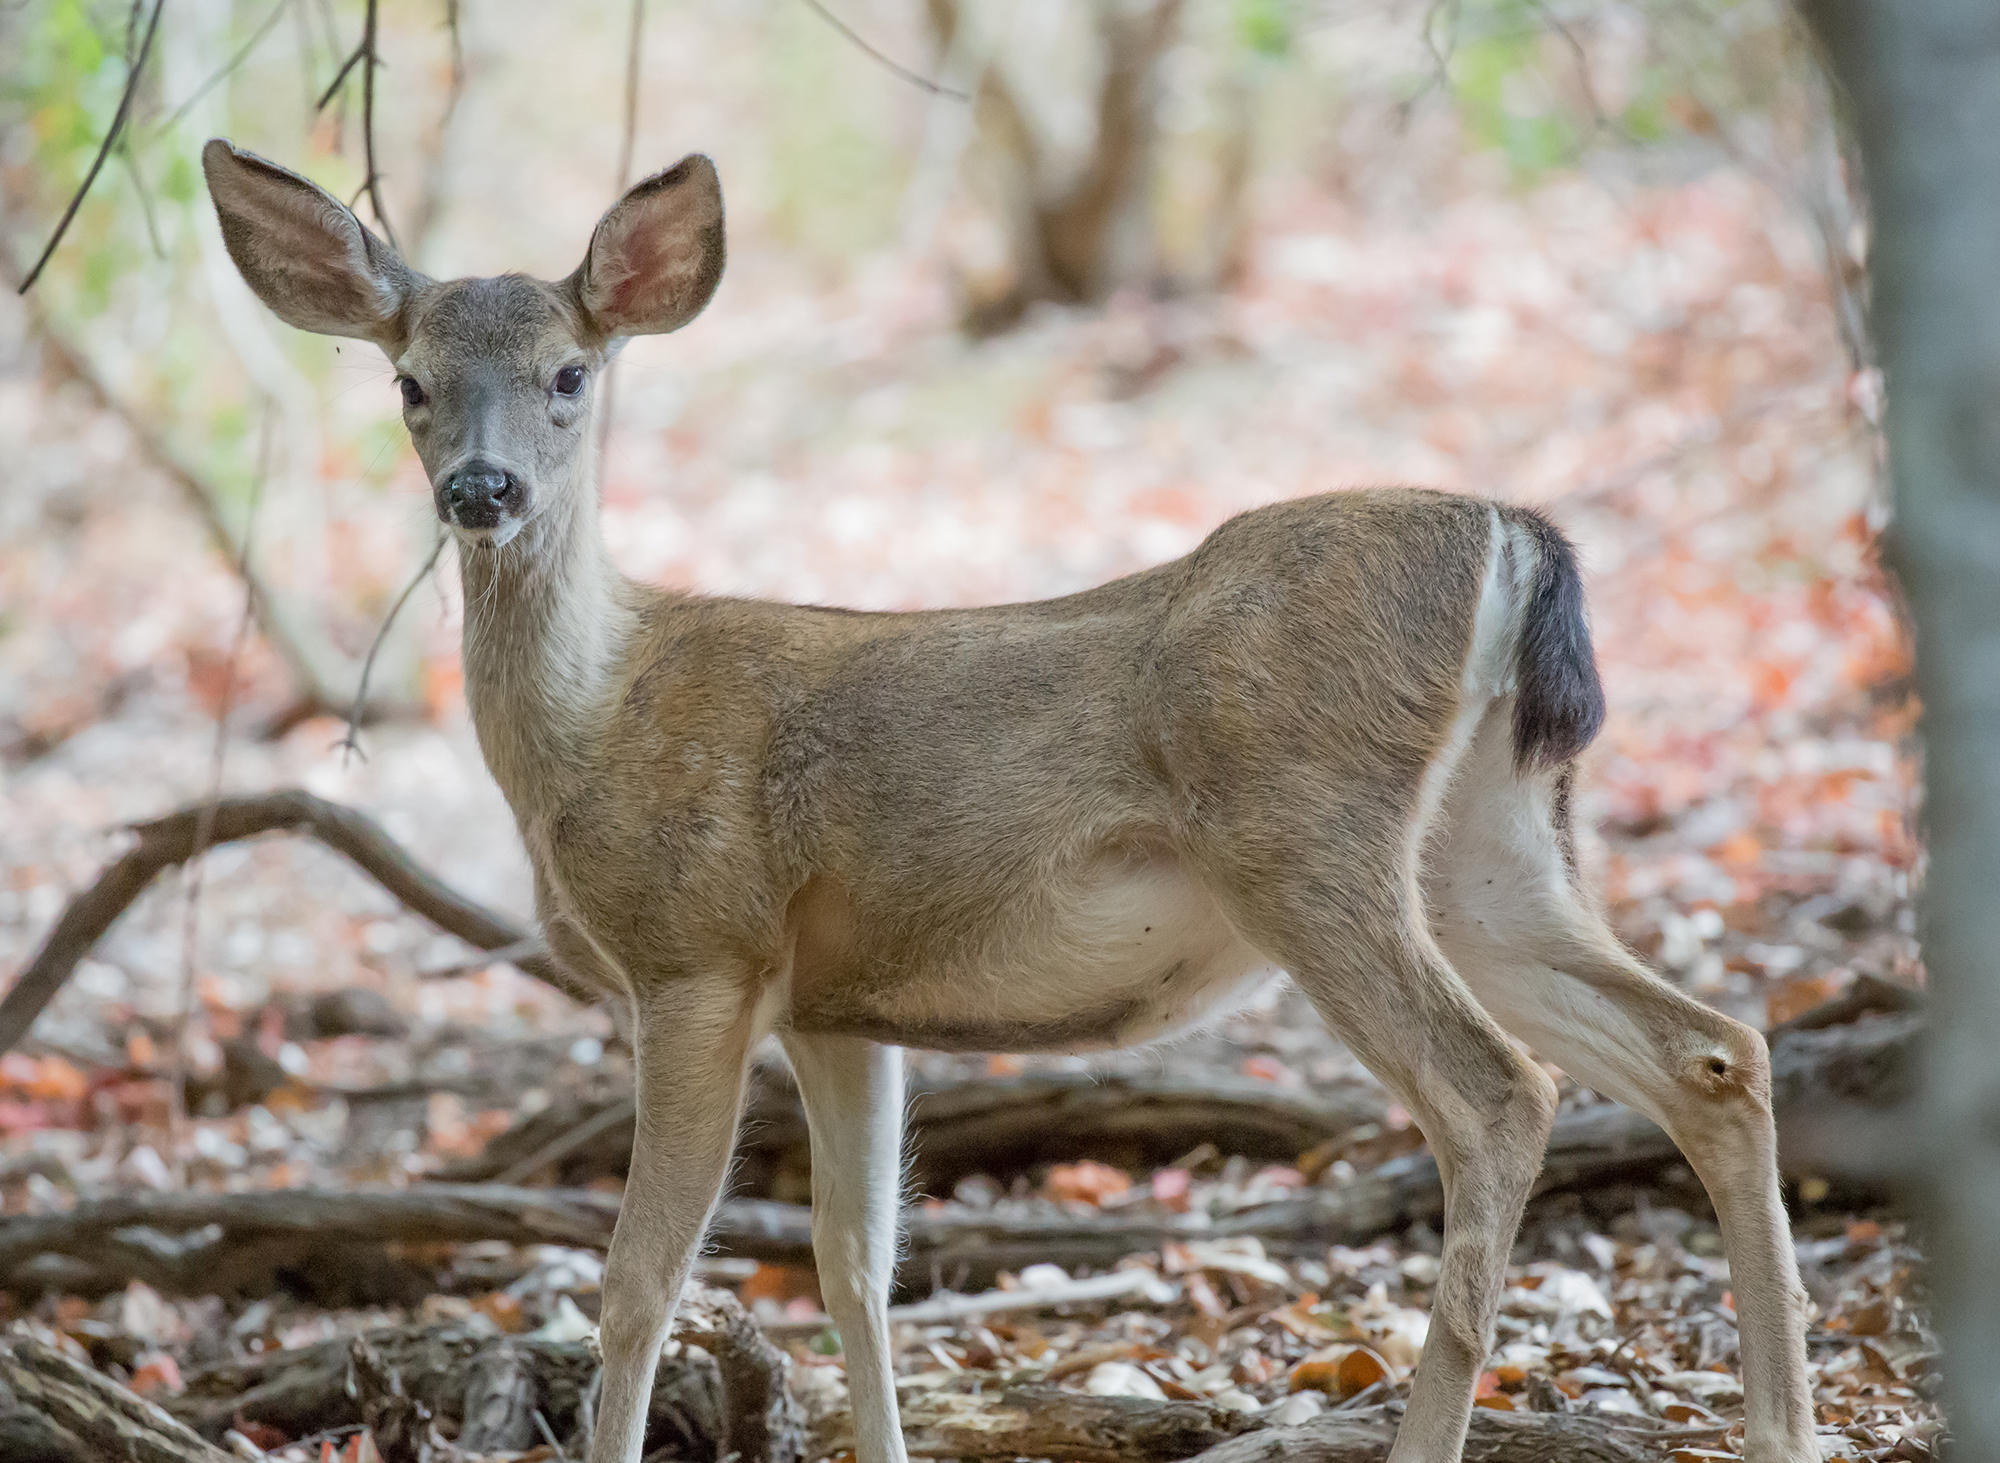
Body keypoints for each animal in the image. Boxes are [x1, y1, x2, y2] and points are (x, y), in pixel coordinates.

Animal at [202, 138, 1818, 1463]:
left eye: (568, 375)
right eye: (409, 382)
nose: (480, 491)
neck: (600, 714)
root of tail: (1517, 533)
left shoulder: (698, 952)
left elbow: (640, 1281)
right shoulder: (838, 1005)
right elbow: (856, 1267)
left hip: (1303, 828)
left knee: (1499, 1092)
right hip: (1494, 833)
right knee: (1711, 1046)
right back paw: (1782, 1427)